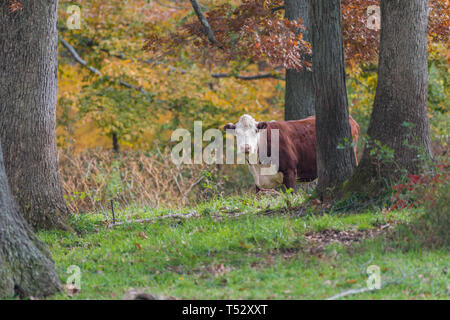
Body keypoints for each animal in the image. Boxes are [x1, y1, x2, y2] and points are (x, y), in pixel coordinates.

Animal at [223, 114, 360, 191]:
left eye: (255, 131)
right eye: (237, 133)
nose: (246, 147)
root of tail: (351, 119)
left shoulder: (289, 171)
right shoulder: (258, 182)